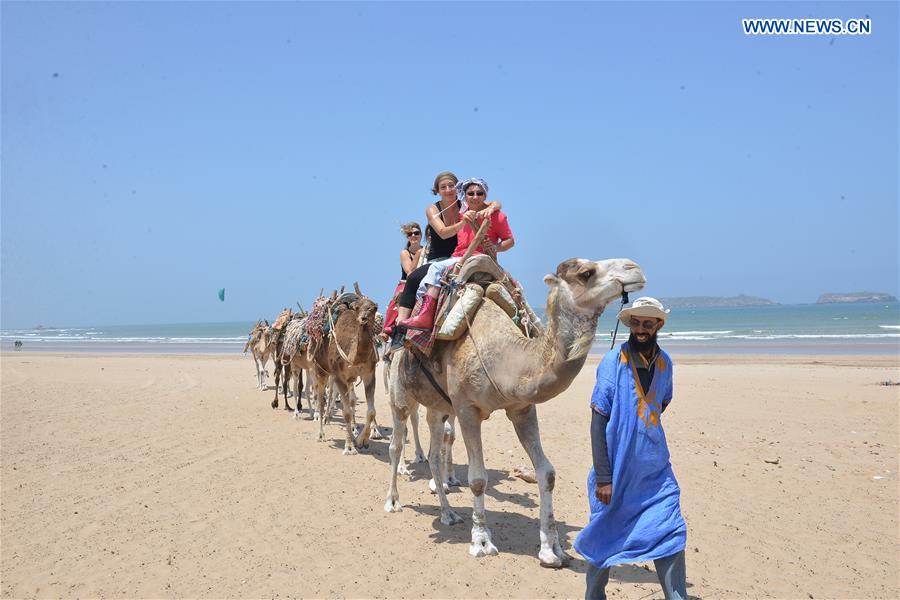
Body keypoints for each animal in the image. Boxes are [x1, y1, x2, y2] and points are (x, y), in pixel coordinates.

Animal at [312, 286, 382, 454]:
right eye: (357, 308)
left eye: (374, 308)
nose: (363, 318)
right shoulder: (339, 375)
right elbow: (346, 412)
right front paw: (349, 447)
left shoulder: (369, 374)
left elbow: (371, 411)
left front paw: (362, 441)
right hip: (321, 370)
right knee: (321, 400)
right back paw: (321, 434)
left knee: (349, 400)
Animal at [384, 256, 644, 568]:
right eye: (586, 273)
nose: (634, 268)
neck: (504, 356)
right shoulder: (467, 409)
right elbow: (478, 479)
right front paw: (481, 541)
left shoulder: (522, 408)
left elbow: (547, 472)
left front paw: (552, 549)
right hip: (400, 393)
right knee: (396, 443)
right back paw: (393, 501)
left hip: (438, 407)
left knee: (435, 452)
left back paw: (448, 514)